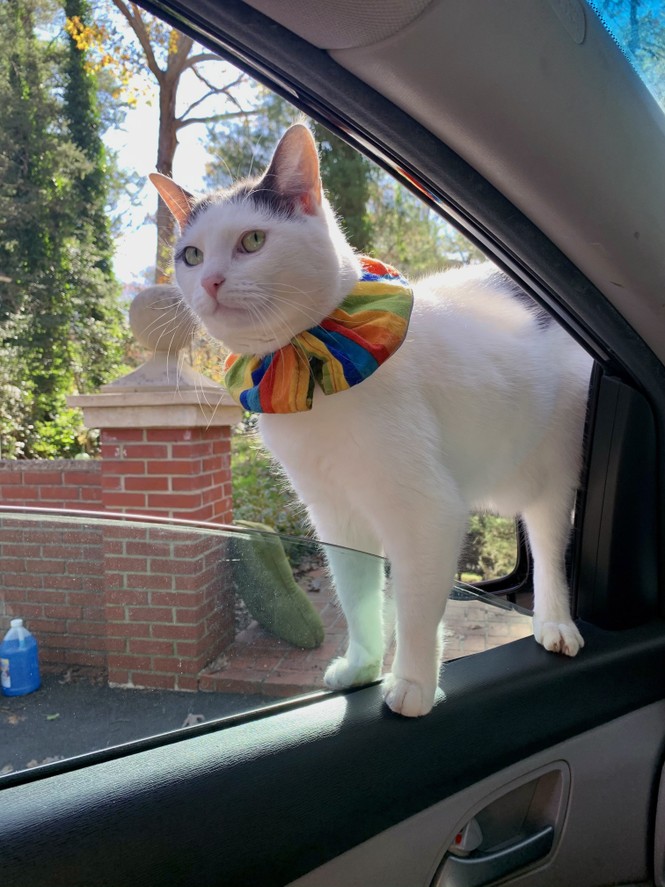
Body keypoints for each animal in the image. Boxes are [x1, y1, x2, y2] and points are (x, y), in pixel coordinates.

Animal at [152, 125, 592, 720]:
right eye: (192, 255)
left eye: (253, 241)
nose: (211, 282)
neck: (311, 363)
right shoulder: (336, 514)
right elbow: (356, 596)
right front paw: (361, 668)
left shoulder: (429, 511)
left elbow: (415, 608)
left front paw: (412, 685)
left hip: (554, 468)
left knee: (547, 546)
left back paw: (554, 623)